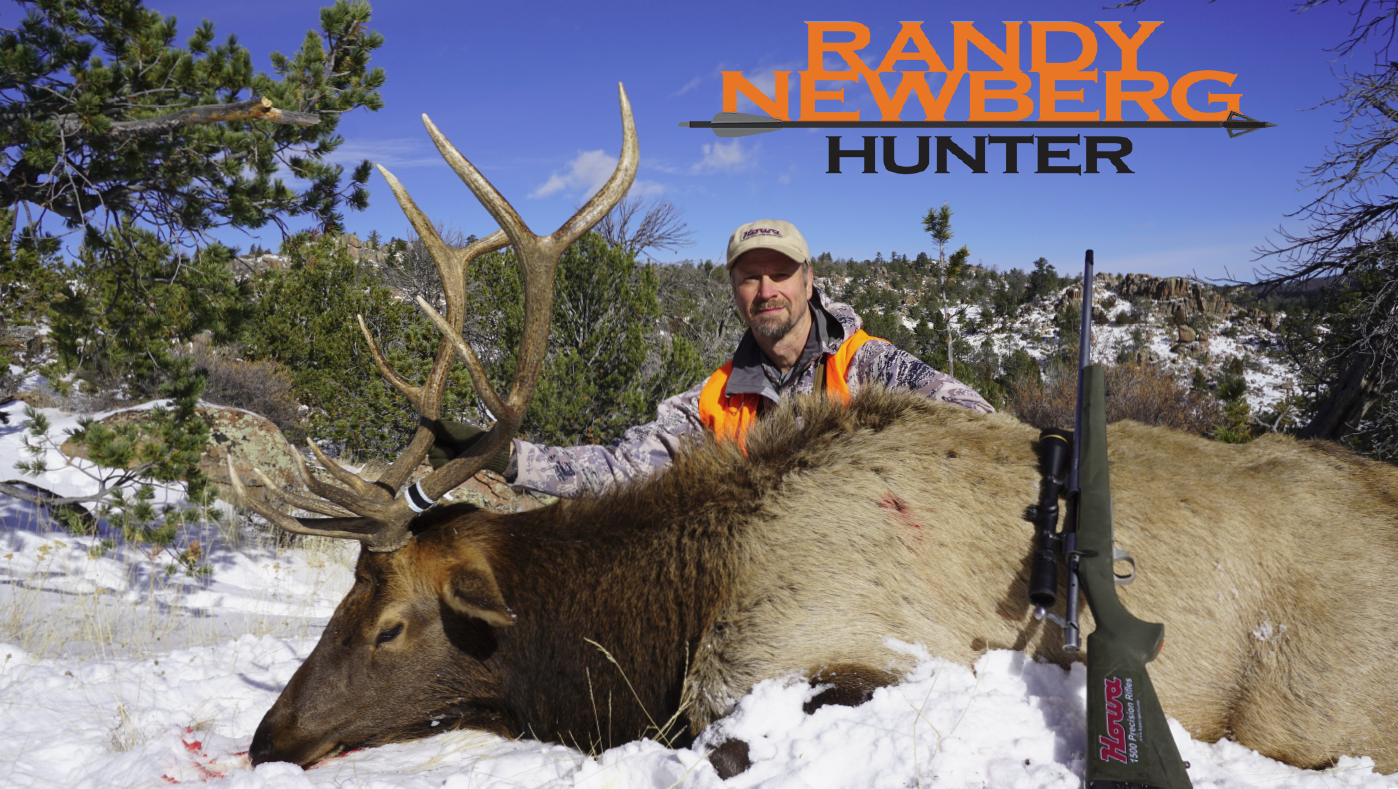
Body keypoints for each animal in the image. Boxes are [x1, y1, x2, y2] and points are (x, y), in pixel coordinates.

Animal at [236, 84, 1398, 778]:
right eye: (342, 601)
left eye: (391, 624)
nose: (267, 737)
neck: (662, 617)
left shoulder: (834, 650)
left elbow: (730, 743)